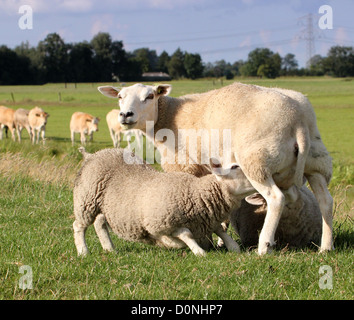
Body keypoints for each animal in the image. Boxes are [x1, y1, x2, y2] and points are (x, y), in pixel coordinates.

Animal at [72, 148, 254, 258]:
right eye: (235, 167)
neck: (194, 193)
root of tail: (91, 155)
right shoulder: (161, 224)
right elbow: (185, 234)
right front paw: (197, 250)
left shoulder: (208, 220)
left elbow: (220, 230)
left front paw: (233, 247)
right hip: (86, 200)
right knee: (79, 225)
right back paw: (83, 251)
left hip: (106, 205)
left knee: (100, 223)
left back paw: (109, 248)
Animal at [98, 82, 334, 255]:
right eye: (120, 97)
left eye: (150, 96)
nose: (125, 115)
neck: (167, 116)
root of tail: (298, 120)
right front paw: (220, 241)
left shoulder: (185, 165)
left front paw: (206, 241)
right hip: (317, 161)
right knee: (325, 201)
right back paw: (326, 247)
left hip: (256, 161)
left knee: (276, 198)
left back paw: (264, 246)